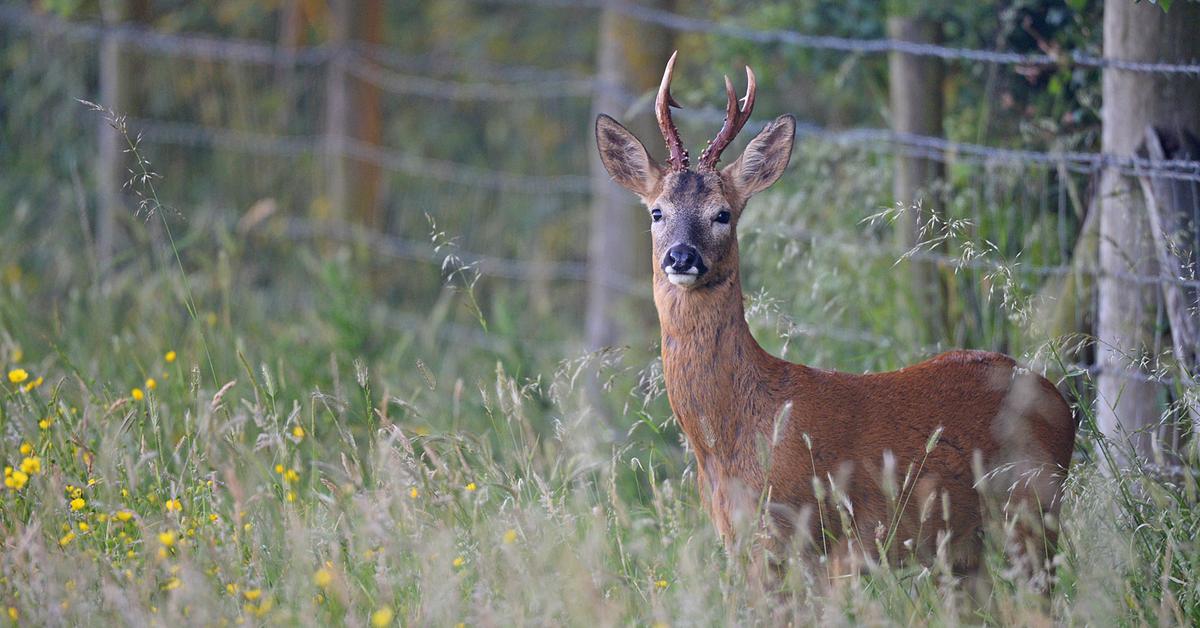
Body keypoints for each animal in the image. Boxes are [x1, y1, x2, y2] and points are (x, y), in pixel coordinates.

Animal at [595, 51, 1075, 583]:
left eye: (723, 214)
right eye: (656, 212)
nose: (681, 256)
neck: (739, 436)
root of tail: (1064, 405)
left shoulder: (821, 538)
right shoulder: (742, 541)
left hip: (1031, 515)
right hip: (971, 552)